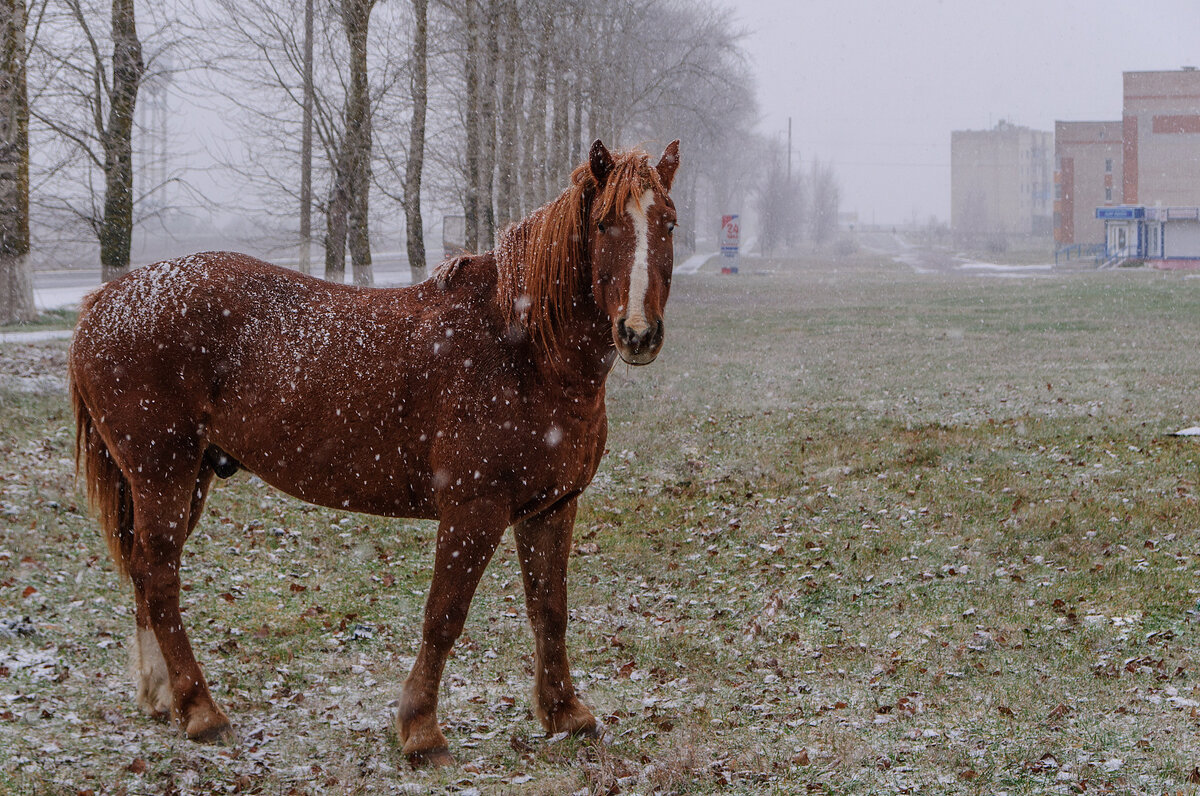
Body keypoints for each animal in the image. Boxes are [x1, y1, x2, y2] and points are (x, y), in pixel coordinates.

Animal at [70, 138, 681, 768]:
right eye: (605, 224)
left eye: (668, 223)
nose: (638, 333)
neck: (523, 349)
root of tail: (105, 301)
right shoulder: (474, 511)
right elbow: (445, 615)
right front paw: (421, 730)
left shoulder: (552, 507)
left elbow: (550, 611)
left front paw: (567, 715)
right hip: (162, 473)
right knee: (160, 579)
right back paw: (201, 711)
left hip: (187, 478)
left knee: (144, 573)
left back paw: (161, 697)